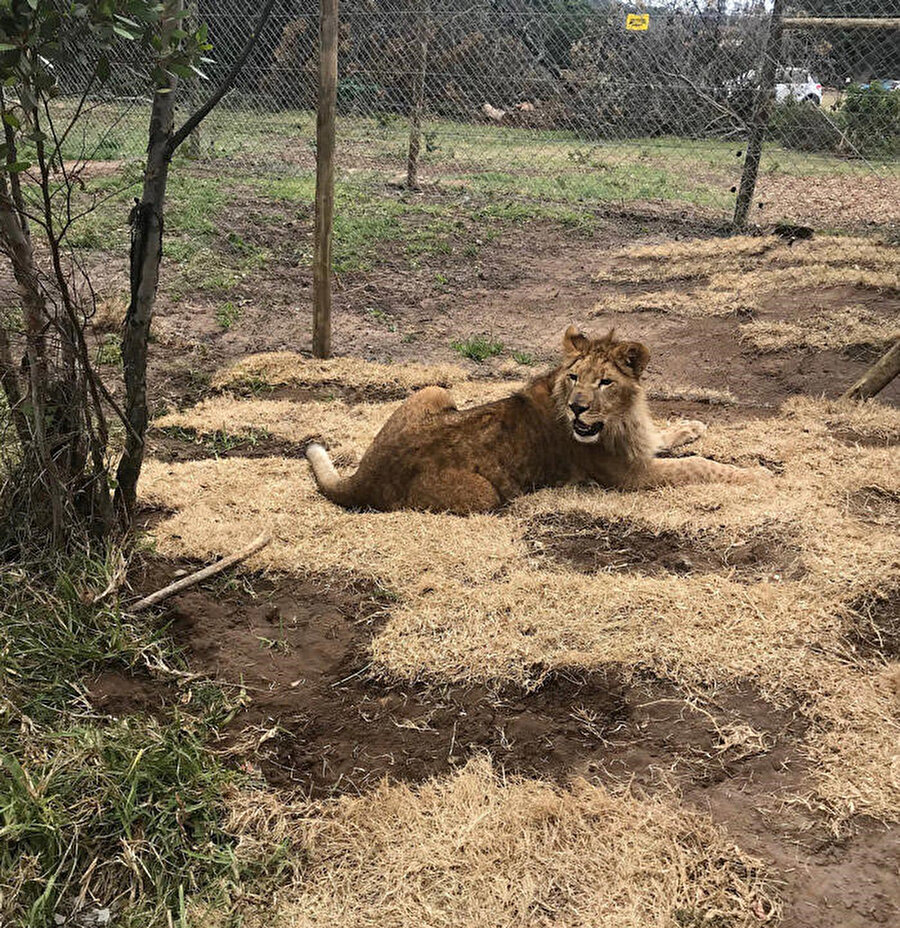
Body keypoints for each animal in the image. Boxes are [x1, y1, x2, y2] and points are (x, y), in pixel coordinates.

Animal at [306, 326, 768, 516]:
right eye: (575, 377)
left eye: (604, 382)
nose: (578, 408)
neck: (617, 418)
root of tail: (363, 477)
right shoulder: (629, 477)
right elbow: (699, 466)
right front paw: (757, 476)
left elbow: (666, 436)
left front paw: (692, 427)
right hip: (483, 496)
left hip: (437, 390)